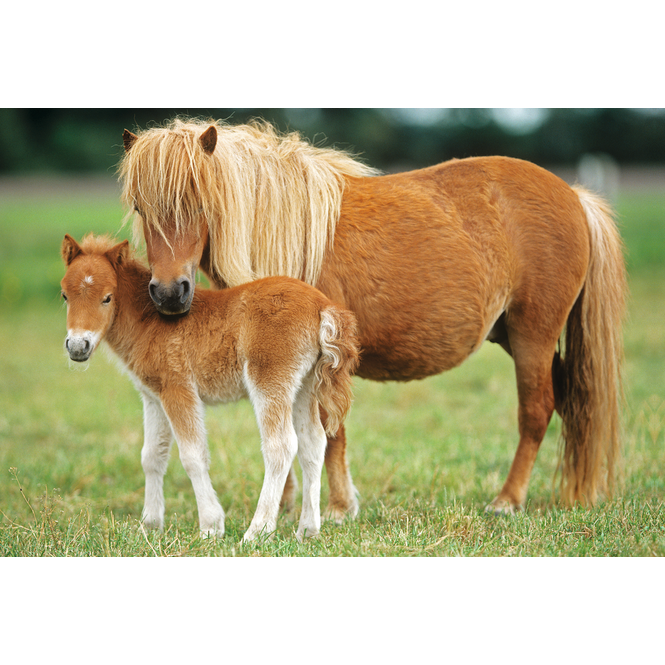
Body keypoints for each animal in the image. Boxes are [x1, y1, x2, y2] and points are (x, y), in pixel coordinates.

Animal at [60, 233, 359, 541]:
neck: (149, 321)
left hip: (269, 379)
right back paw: (307, 530)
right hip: (304, 386)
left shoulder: (178, 389)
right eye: (65, 296)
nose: (78, 346)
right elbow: (151, 456)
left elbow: (192, 456)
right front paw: (149, 525)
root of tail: (322, 306)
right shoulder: (153, 397)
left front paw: (210, 526)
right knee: (313, 443)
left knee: (281, 446)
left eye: (107, 297)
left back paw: (256, 532)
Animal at [118, 117, 627, 516]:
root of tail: (574, 195)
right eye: (141, 207)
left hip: (532, 339)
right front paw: (288, 503)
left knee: (536, 412)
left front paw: (338, 508)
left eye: (198, 201)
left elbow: (329, 433)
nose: (169, 293)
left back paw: (507, 500)